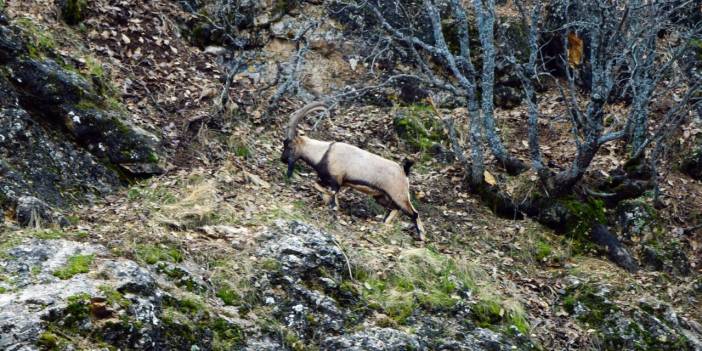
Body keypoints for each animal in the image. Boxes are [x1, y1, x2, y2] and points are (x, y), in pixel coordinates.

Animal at [282, 100, 426, 241]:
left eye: (289, 145)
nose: (283, 159)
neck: (324, 153)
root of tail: (404, 172)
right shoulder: (326, 179)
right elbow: (316, 185)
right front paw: (330, 203)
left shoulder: (336, 180)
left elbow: (332, 192)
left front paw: (334, 206)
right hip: (381, 196)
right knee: (394, 209)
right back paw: (384, 224)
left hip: (399, 195)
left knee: (413, 213)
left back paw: (421, 237)